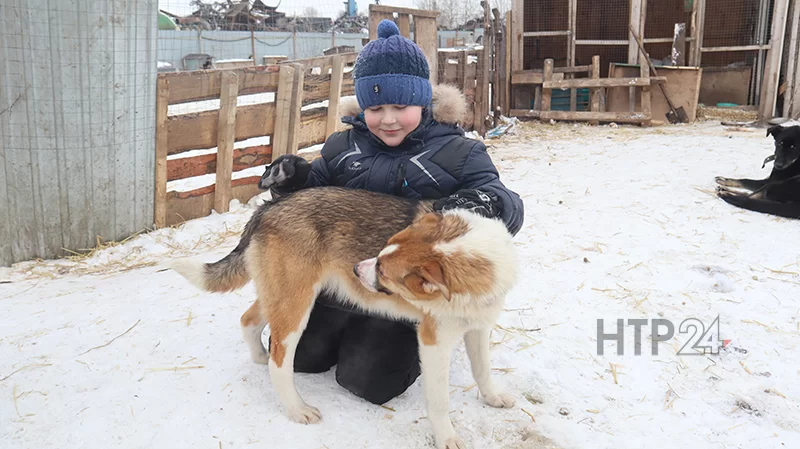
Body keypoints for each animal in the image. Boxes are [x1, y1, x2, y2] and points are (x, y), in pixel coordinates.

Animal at [169, 186, 520, 448]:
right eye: (381, 253)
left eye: (382, 268)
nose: (355, 269)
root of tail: (270, 206)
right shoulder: (434, 342)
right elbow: (439, 401)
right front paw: (446, 437)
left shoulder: (478, 328)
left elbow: (483, 371)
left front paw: (492, 398)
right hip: (298, 305)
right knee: (280, 361)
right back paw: (297, 409)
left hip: (281, 296)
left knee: (249, 320)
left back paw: (258, 356)